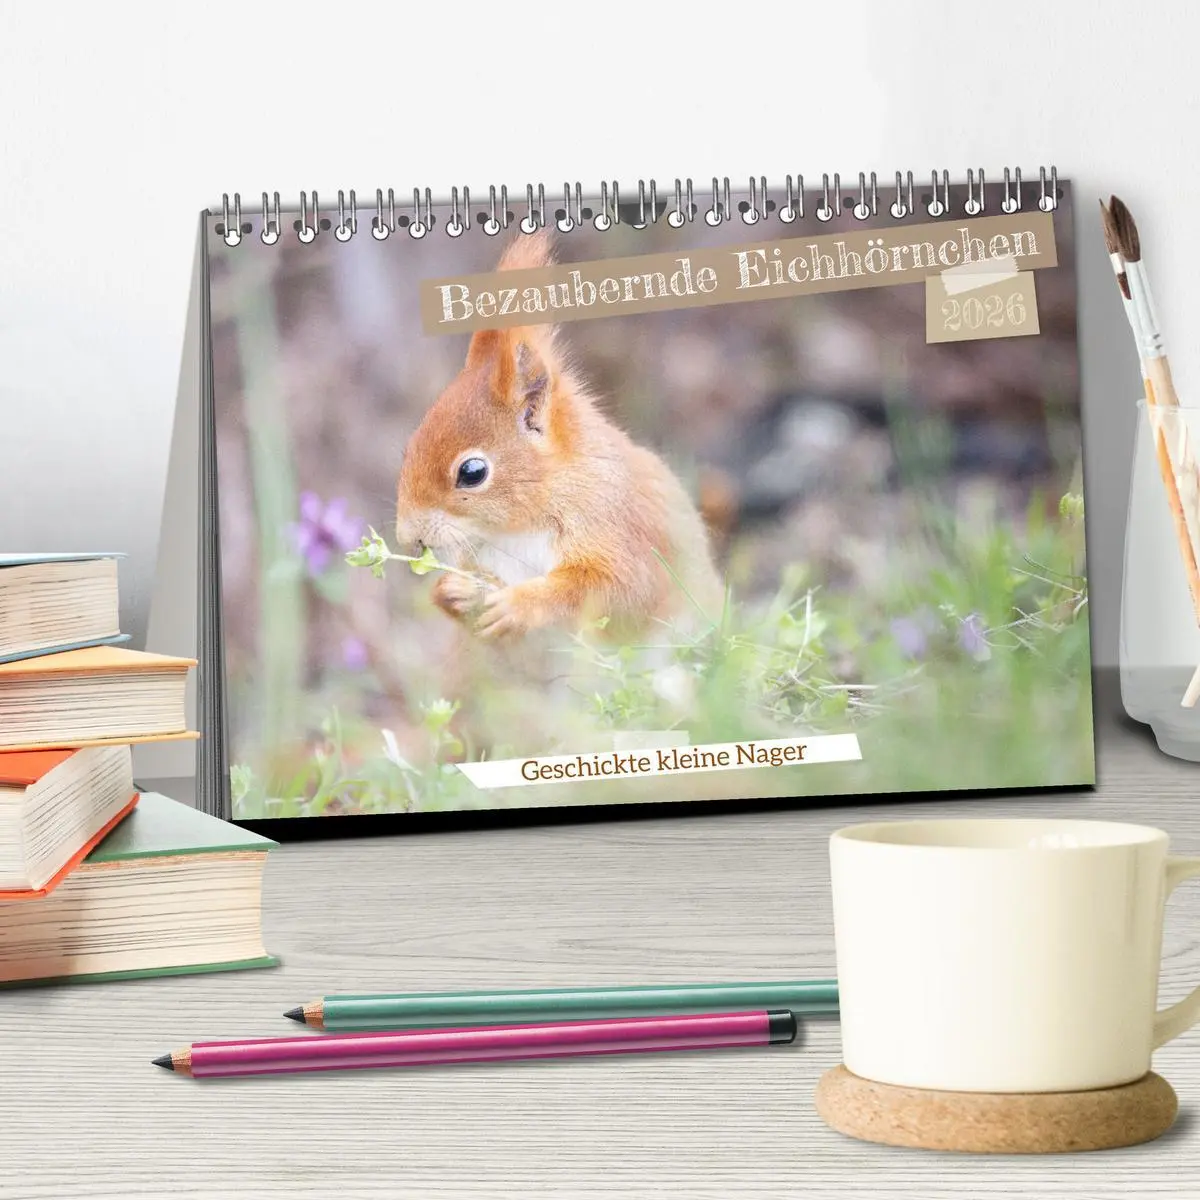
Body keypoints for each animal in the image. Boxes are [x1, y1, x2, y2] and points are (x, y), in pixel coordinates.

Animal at [395, 227, 723, 643]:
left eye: (472, 473)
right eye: (408, 449)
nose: (409, 537)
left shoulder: (620, 527)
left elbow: (620, 589)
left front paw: (518, 605)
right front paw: (454, 590)